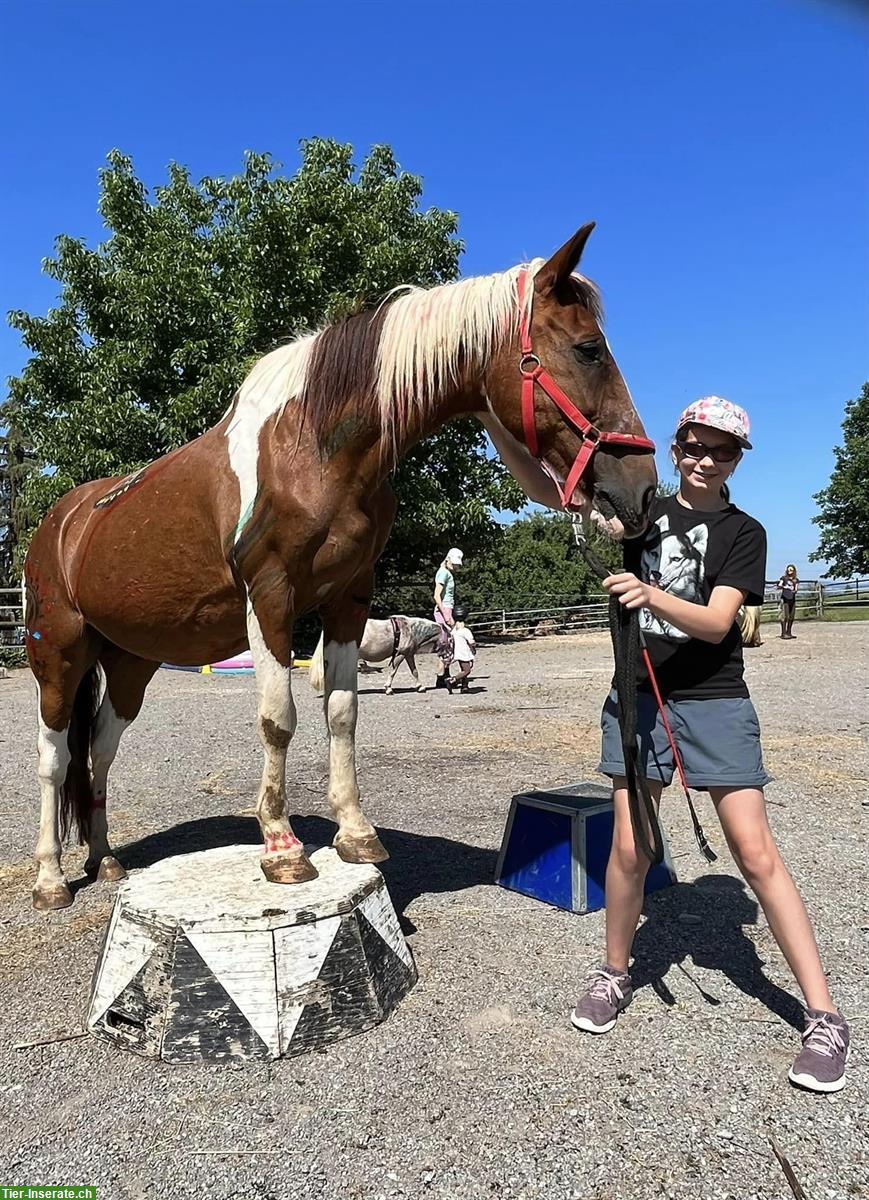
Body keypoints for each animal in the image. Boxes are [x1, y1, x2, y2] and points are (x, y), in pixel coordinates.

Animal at [309, 614, 441, 700]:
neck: (410, 629)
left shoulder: (408, 654)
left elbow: (414, 671)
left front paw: (420, 687)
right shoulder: (400, 654)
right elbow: (394, 672)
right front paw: (388, 689)